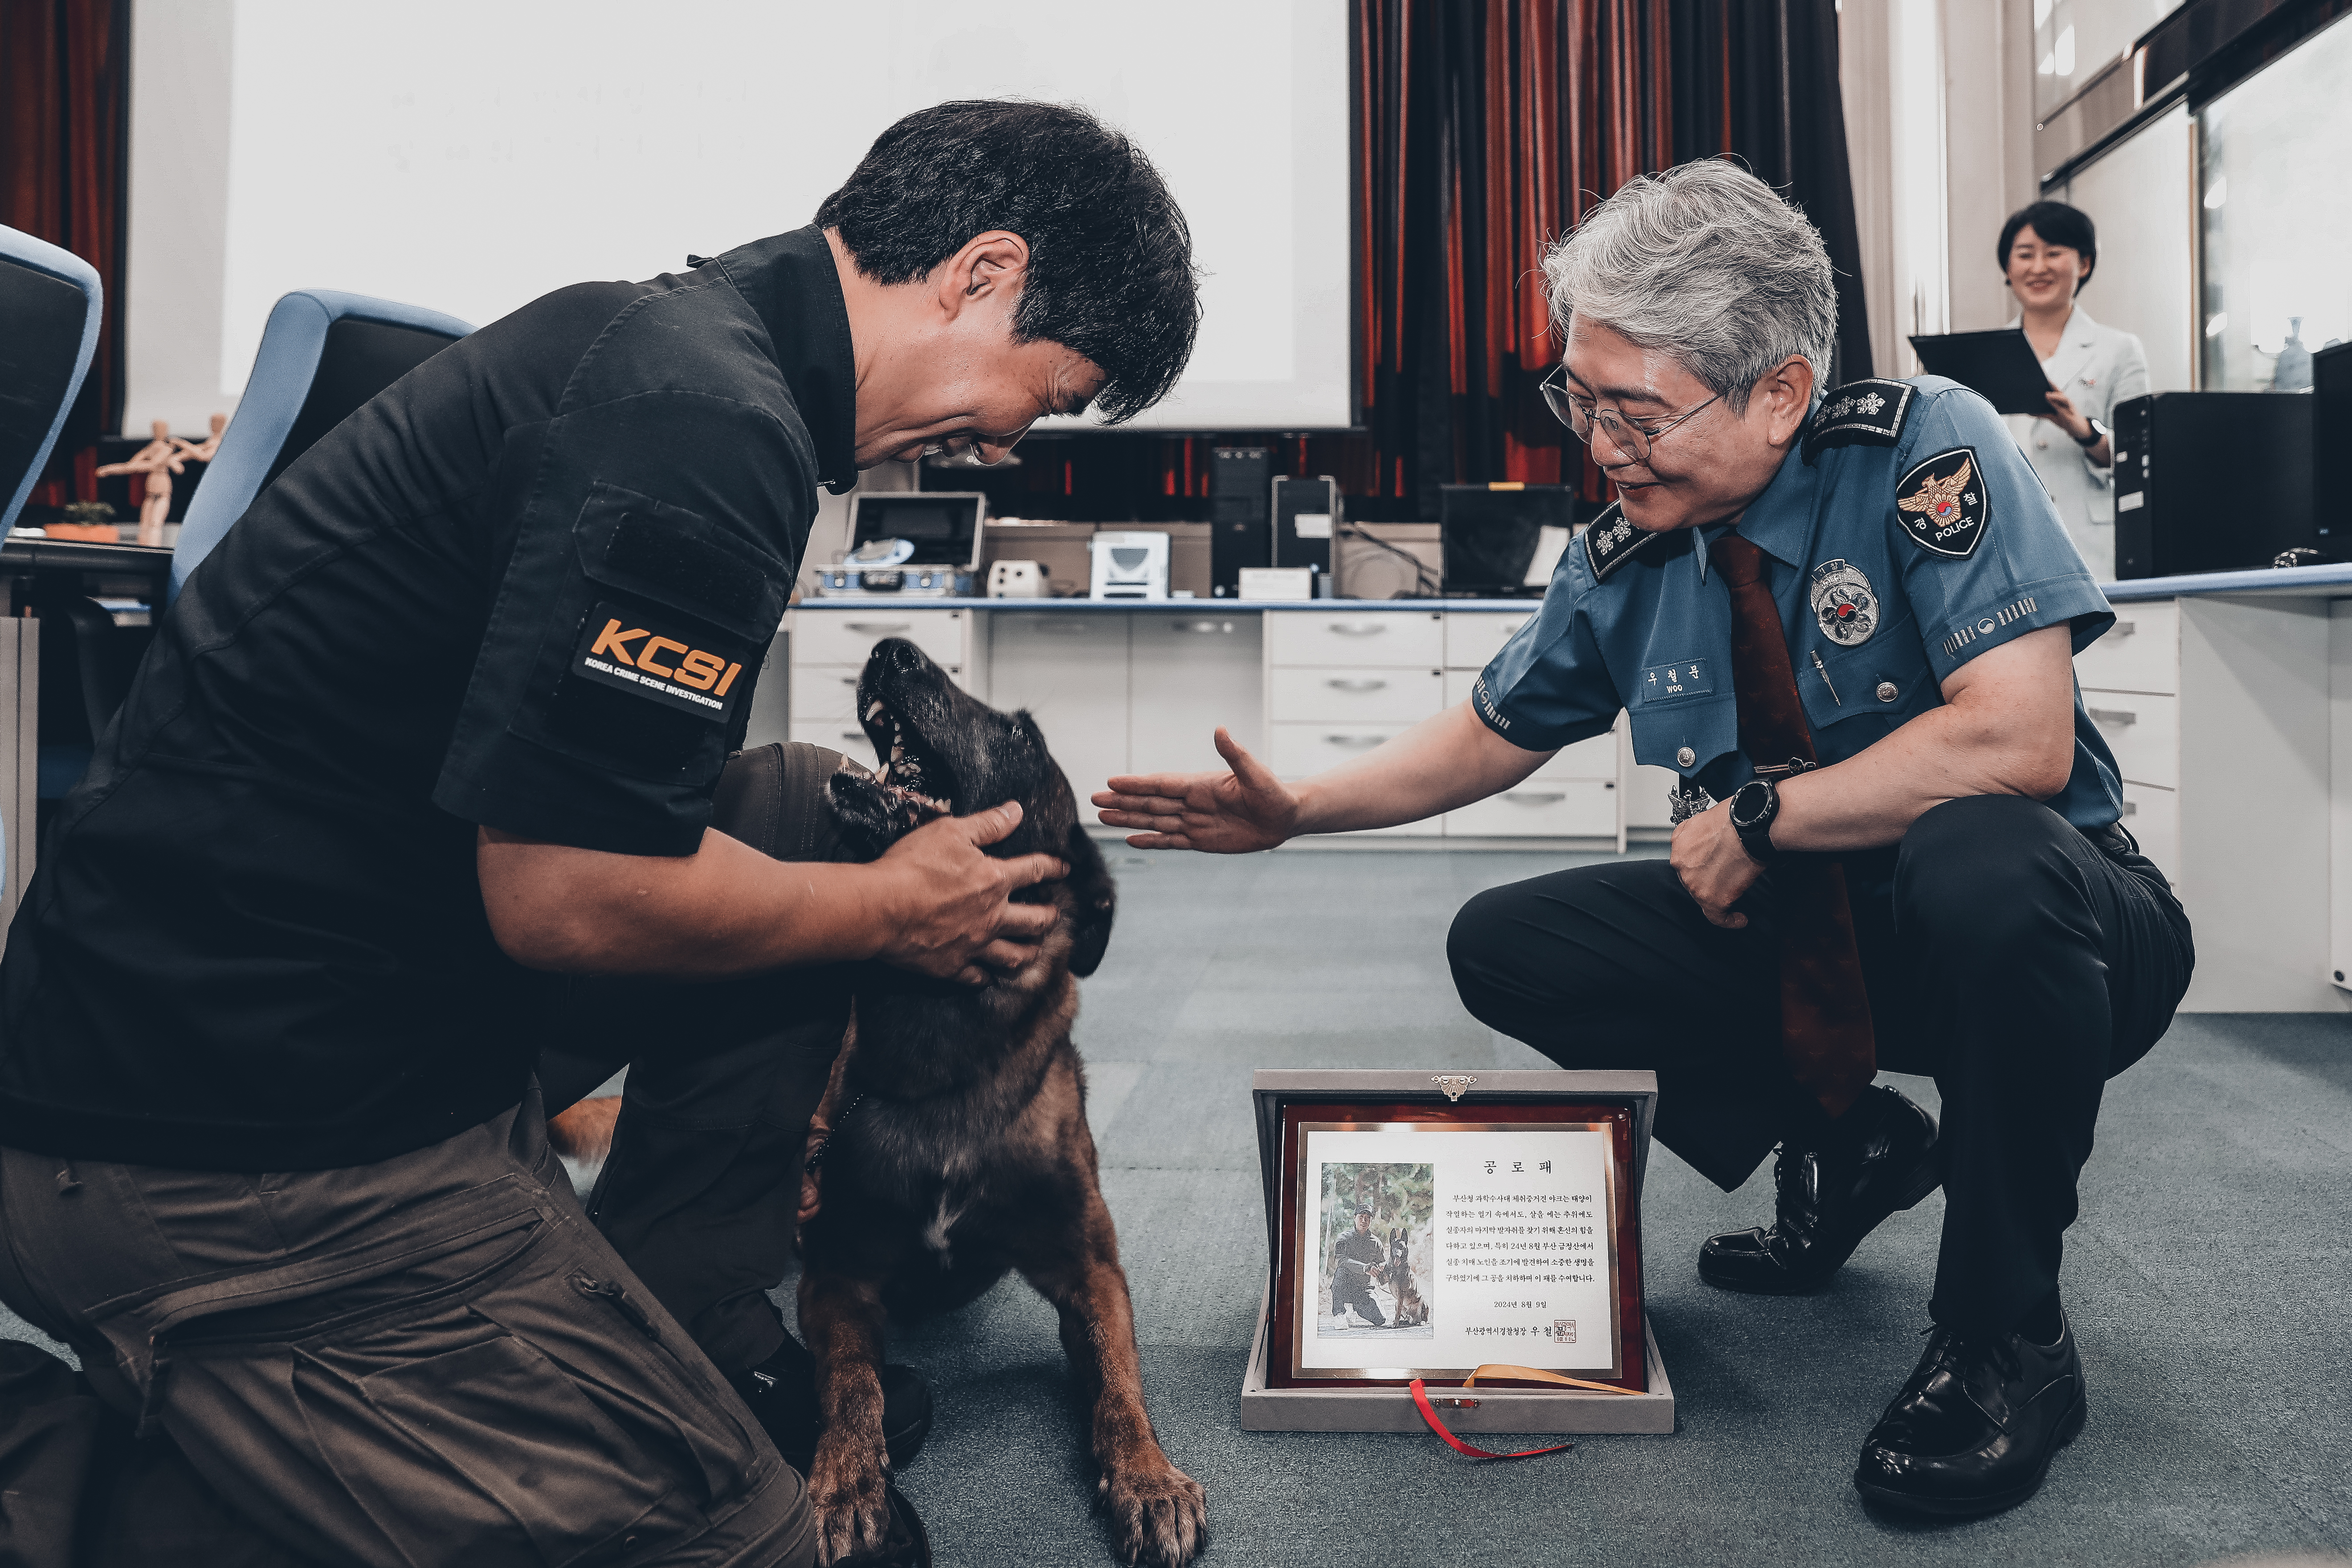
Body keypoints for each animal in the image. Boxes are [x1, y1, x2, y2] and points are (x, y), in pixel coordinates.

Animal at [809, 639, 1213, 1568]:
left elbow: (1120, 1388)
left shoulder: (1090, 1273)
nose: (891, 649)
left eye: (1022, 734)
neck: (947, 1047)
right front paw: (848, 1481)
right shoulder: (835, 1274)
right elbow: (850, 1383)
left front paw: (1149, 1480)